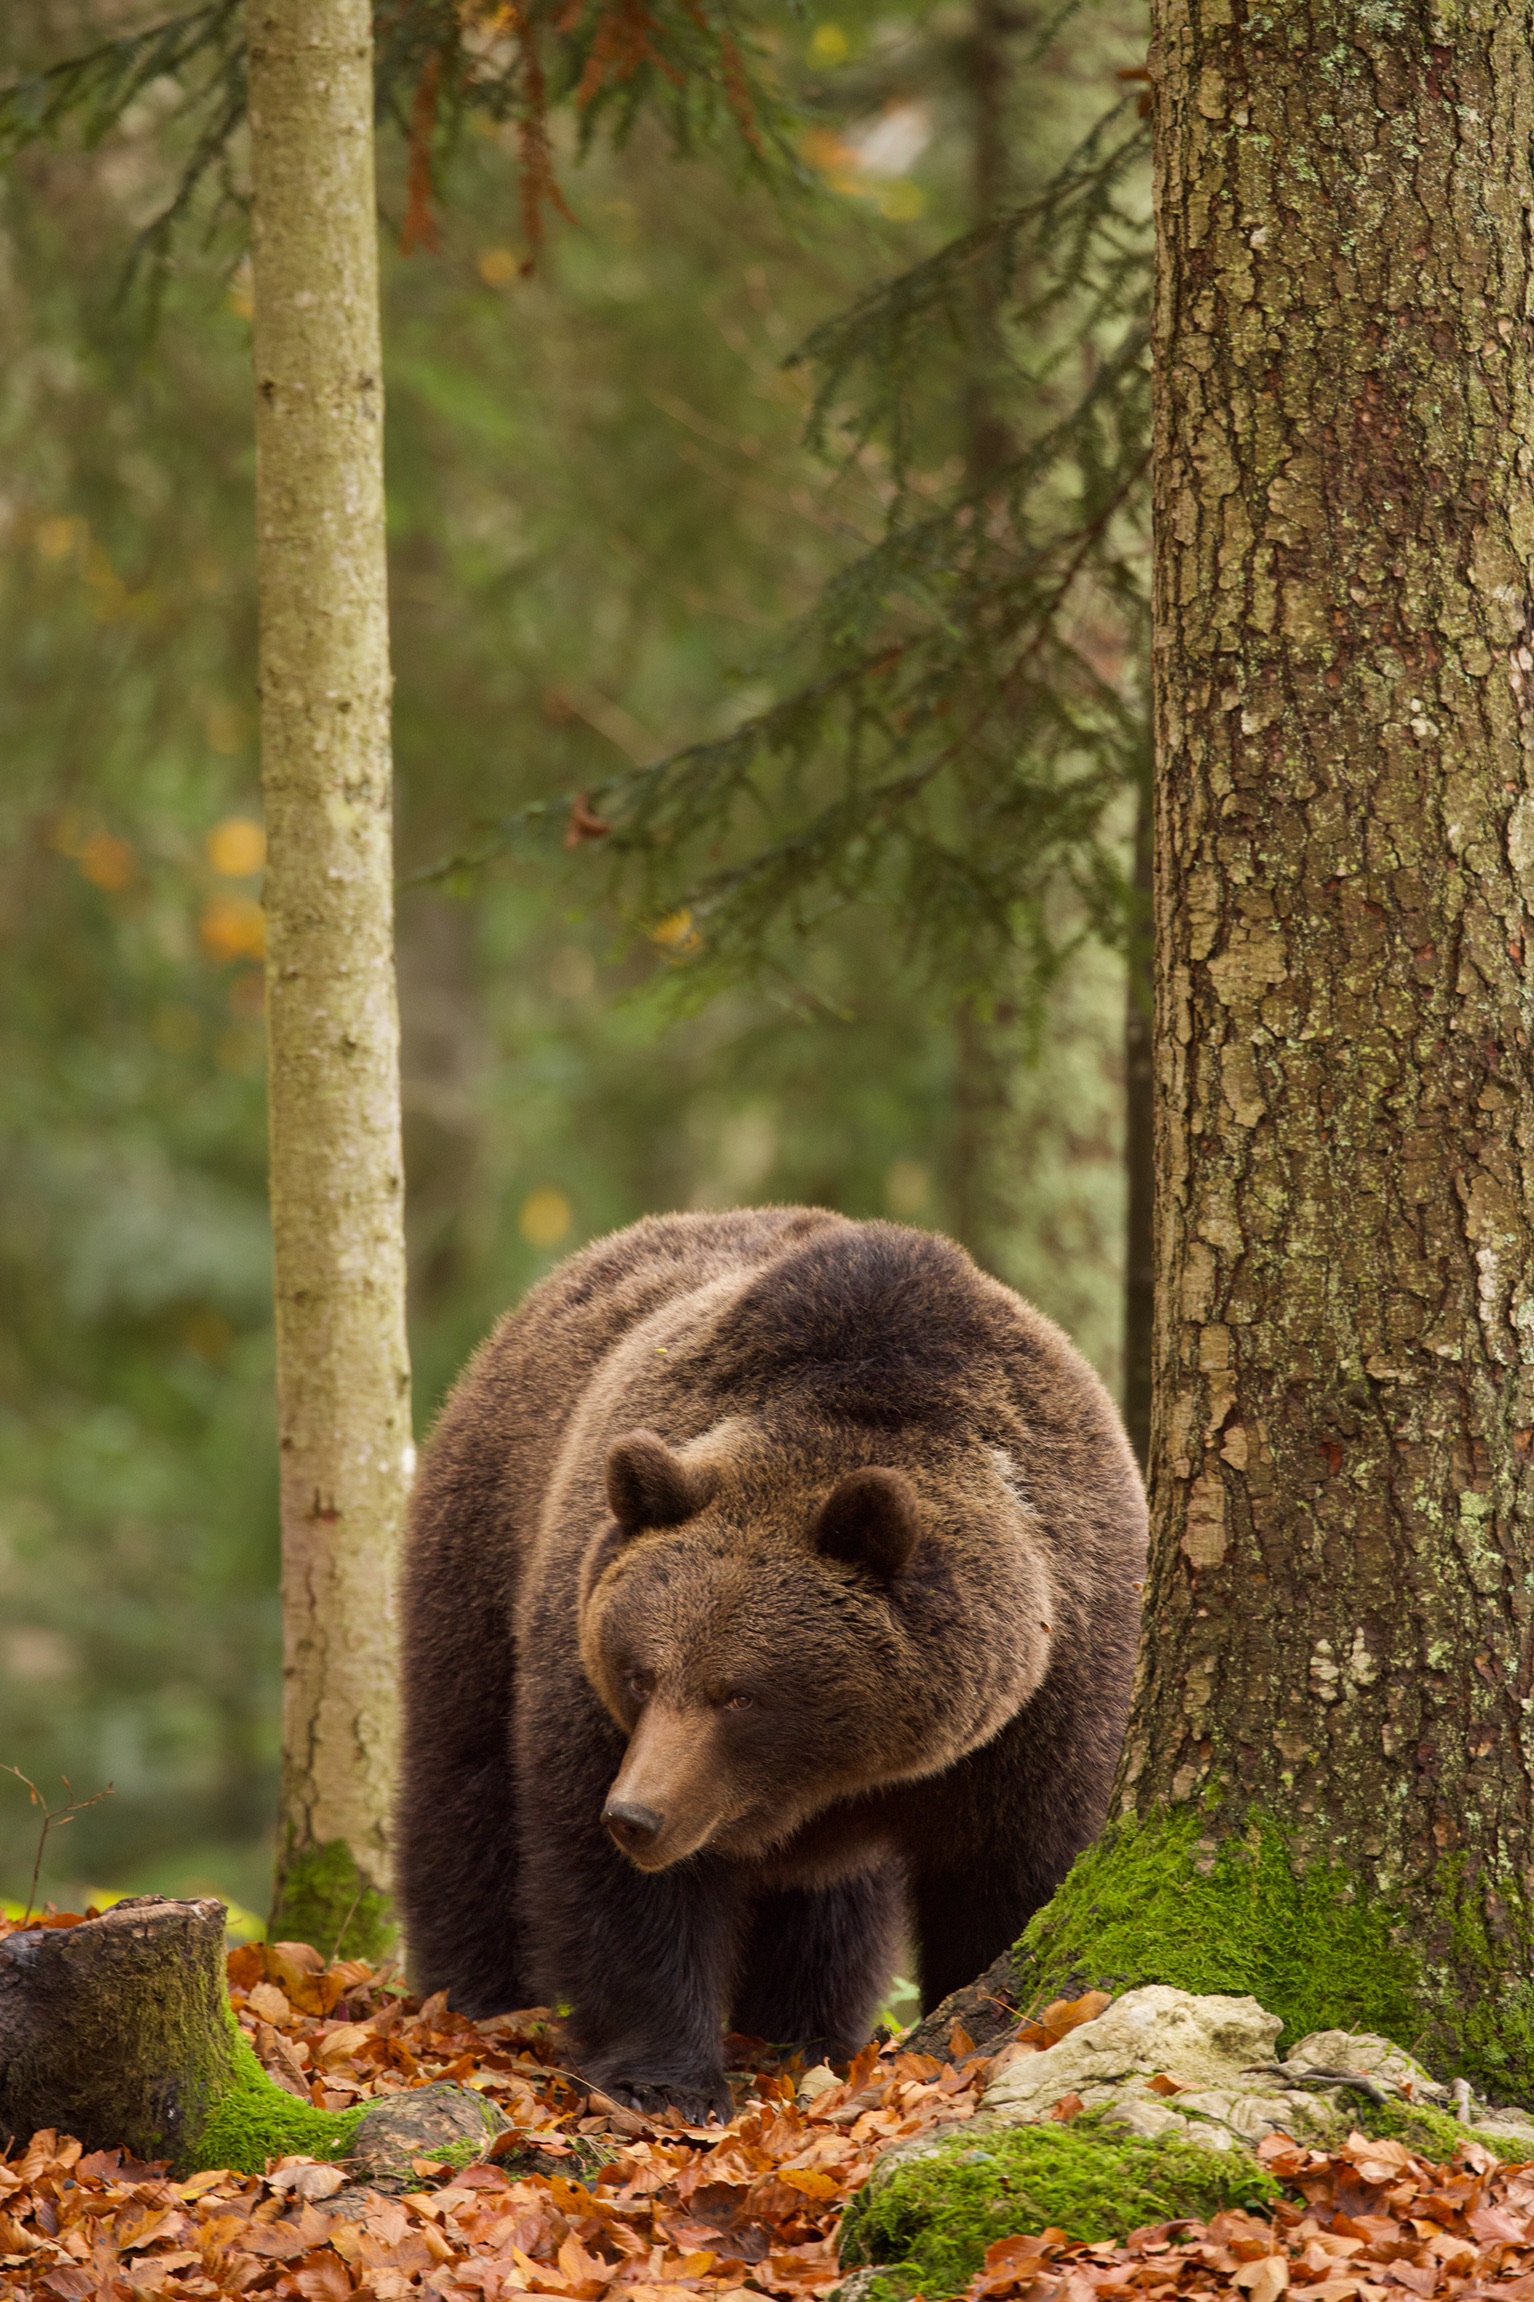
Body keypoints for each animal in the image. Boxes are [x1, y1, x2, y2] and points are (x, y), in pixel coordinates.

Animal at [398, 1207, 1146, 2121]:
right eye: (642, 1674)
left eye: (740, 1696)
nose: (636, 1816)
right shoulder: (585, 1661)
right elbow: (617, 1885)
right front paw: (665, 2079)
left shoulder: (1056, 1685)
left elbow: (1018, 1874)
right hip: (487, 1542)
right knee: (465, 1786)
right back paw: (476, 1996)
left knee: (829, 1911)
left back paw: (806, 2034)